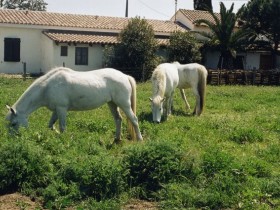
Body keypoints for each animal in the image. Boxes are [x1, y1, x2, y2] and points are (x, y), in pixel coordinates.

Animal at [5, 67, 143, 143]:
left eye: (14, 123)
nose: (12, 139)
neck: (47, 87)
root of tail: (124, 76)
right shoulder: (56, 110)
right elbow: (50, 126)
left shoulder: (61, 109)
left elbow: (62, 127)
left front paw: (65, 139)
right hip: (112, 104)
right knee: (118, 119)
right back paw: (117, 138)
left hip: (124, 104)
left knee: (134, 119)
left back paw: (140, 139)